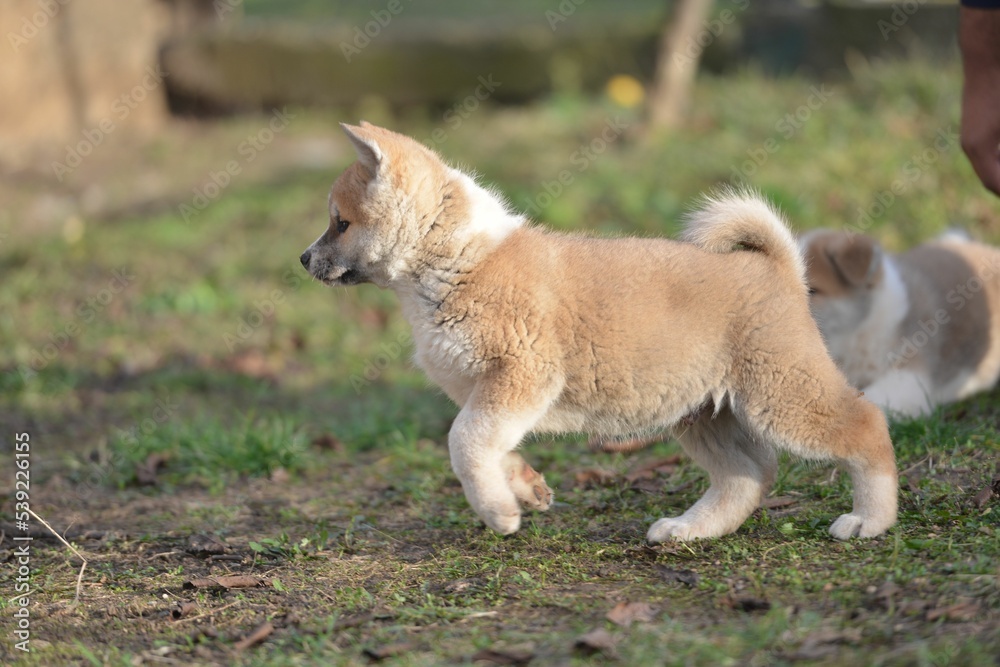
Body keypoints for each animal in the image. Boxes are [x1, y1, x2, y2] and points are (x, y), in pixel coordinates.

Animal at [298, 124, 900, 544]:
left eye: (341, 223)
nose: (303, 259)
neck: (459, 262)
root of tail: (777, 266)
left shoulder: (520, 376)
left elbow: (464, 444)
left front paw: (498, 511)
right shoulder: (492, 397)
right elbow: (487, 446)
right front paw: (525, 488)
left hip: (782, 396)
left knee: (867, 424)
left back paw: (869, 520)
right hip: (704, 412)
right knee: (747, 475)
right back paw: (689, 530)